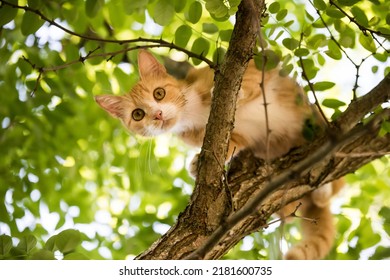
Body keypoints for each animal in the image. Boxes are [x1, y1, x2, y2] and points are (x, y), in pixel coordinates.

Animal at [96, 50, 342, 260]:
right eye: (137, 114)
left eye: (159, 93)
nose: (157, 115)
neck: (192, 113)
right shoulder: (236, 135)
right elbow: (228, 143)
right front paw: (197, 164)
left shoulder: (254, 65)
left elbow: (252, 75)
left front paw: (235, 91)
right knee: (291, 214)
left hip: (316, 122)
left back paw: (324, 186)